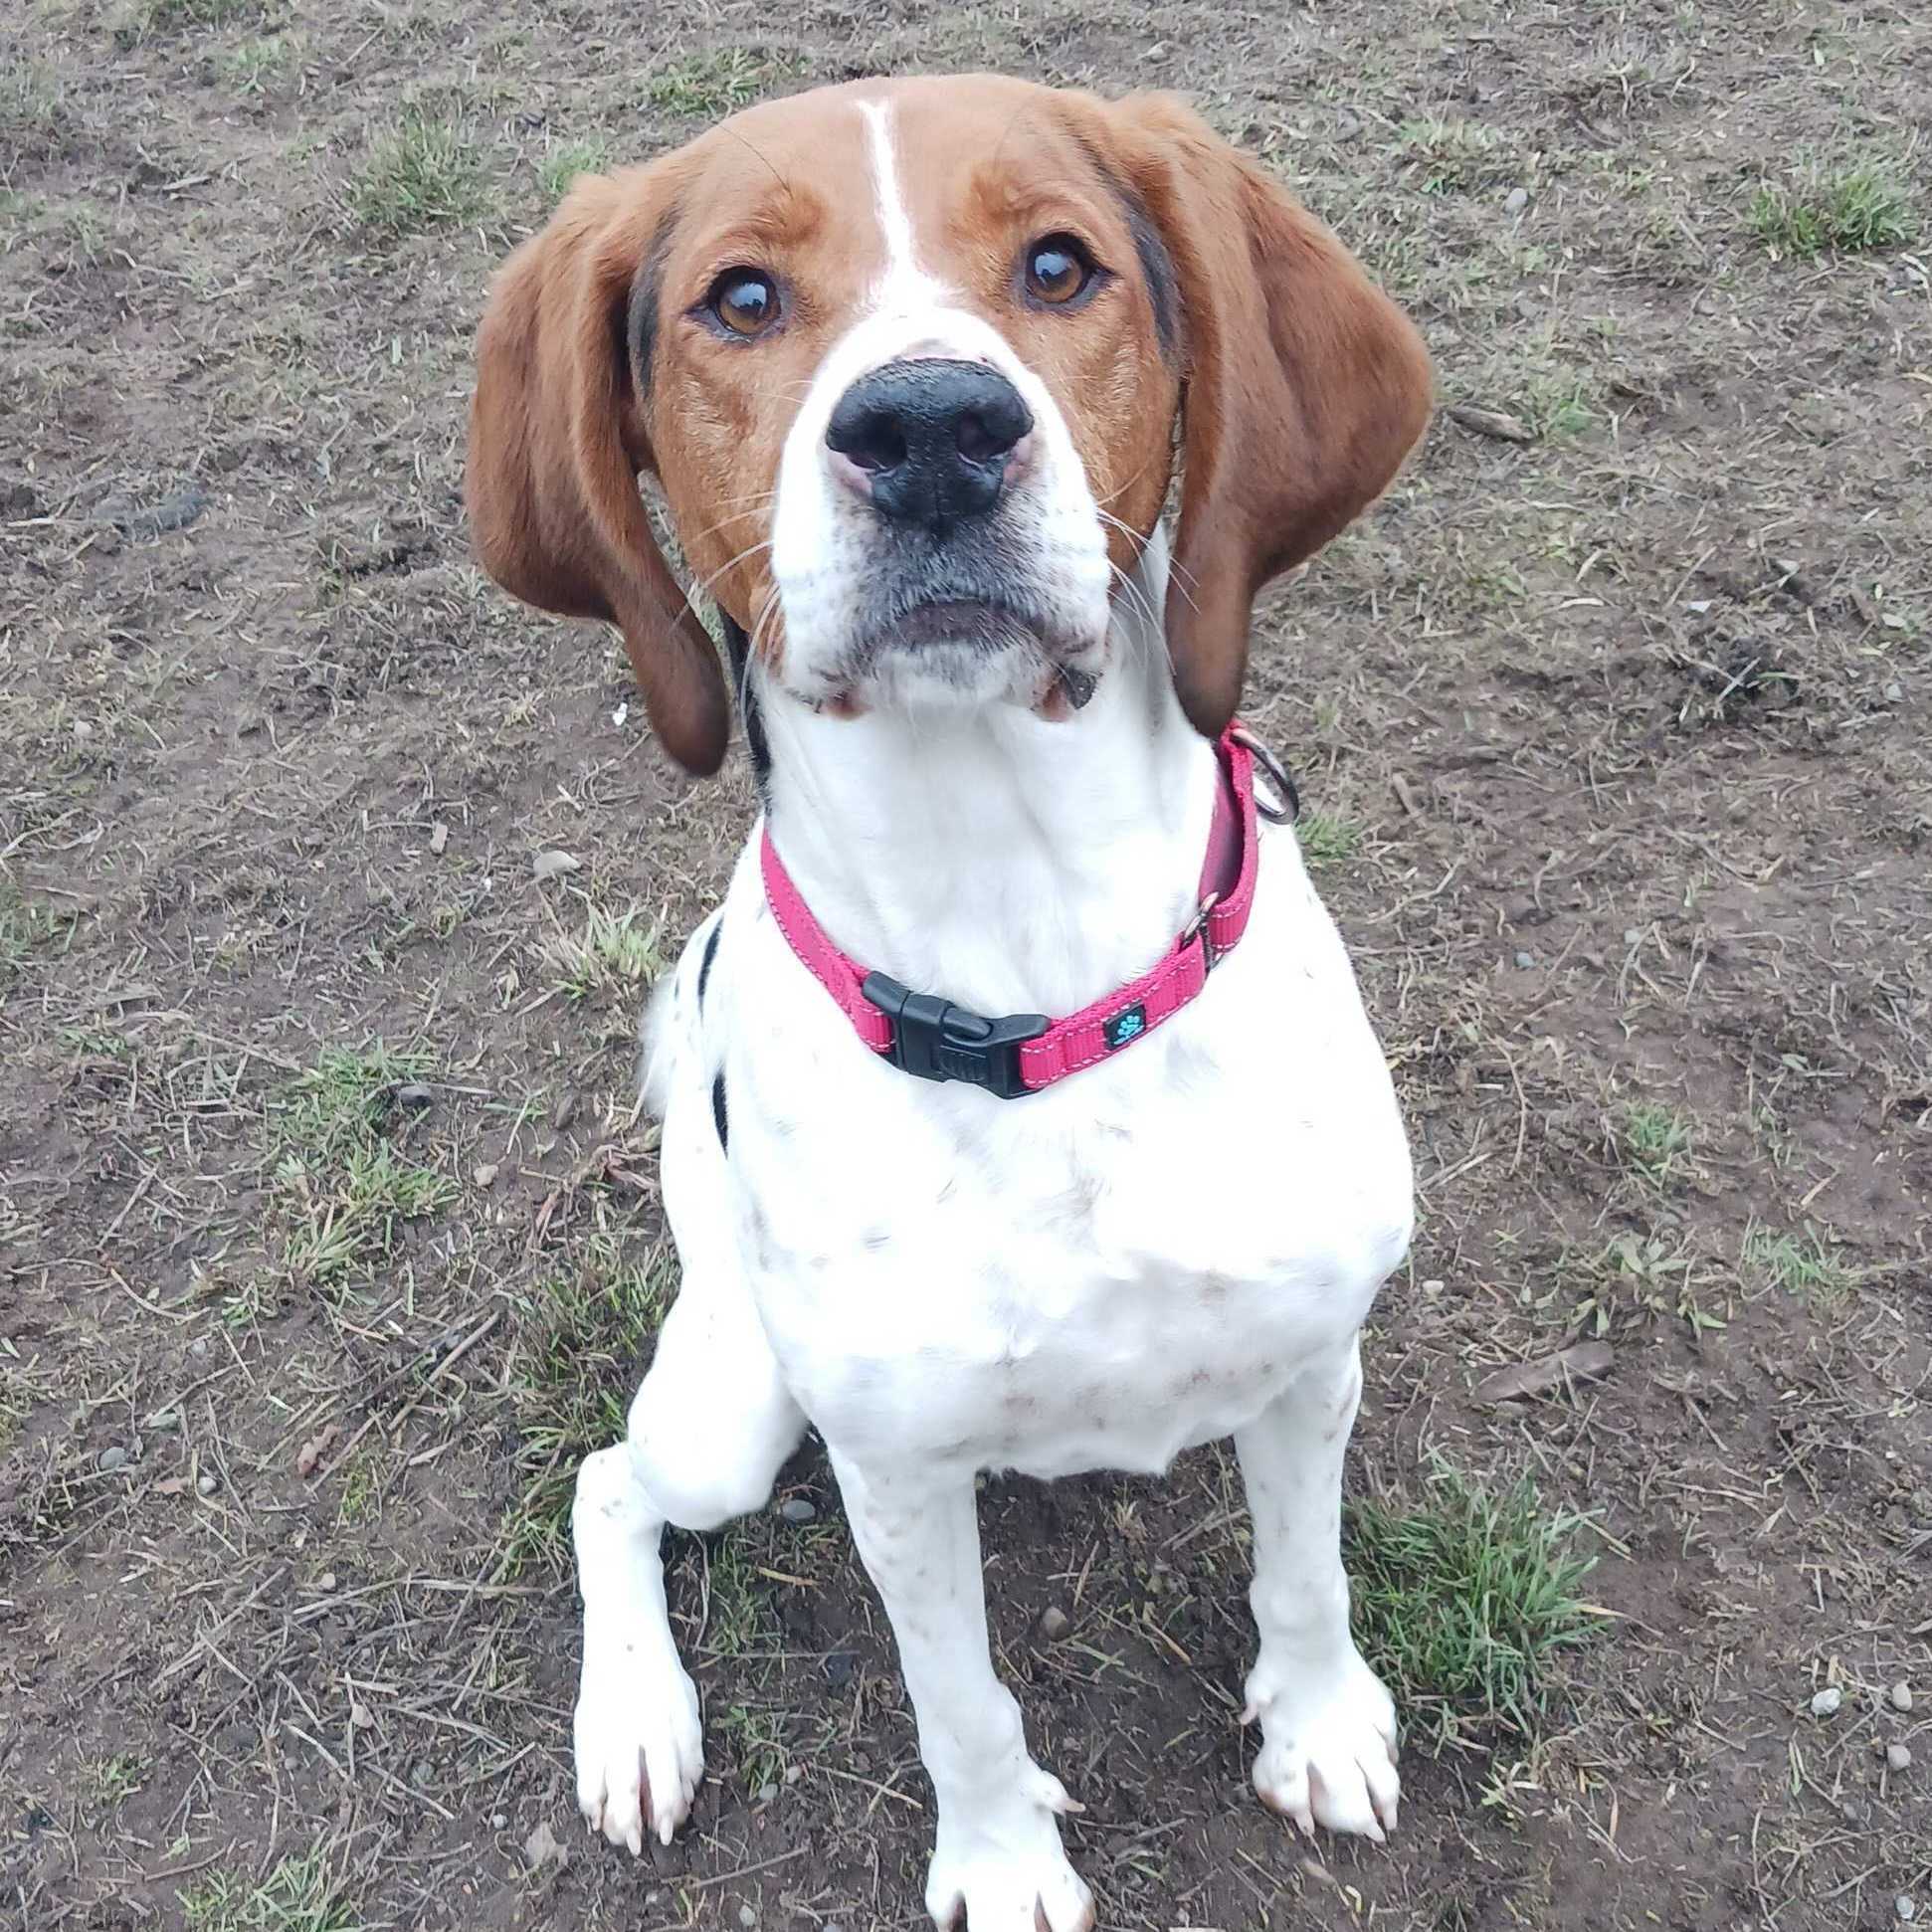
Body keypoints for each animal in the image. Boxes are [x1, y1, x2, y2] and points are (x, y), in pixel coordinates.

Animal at [467, 71, 1437, 1932]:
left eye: (1057, 266)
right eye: (741, 299)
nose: (928, 427)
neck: (1031, 957)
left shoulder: (1307, 1361)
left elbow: (1306, 1575)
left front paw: (1321, 1719)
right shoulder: (896, 1476)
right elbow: (960, 1699)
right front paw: (1000, 1865)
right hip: (738, 1411)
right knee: (608, 1485)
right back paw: (634, 1719)